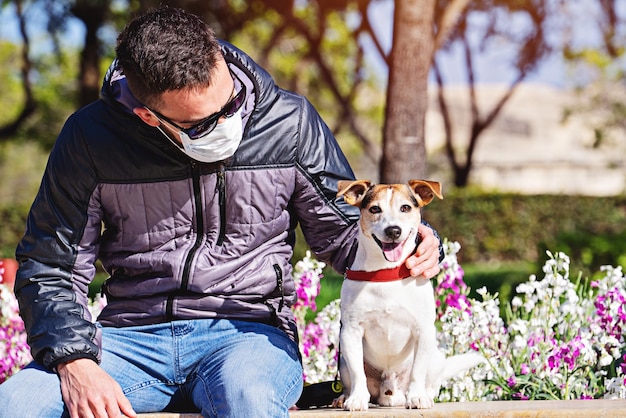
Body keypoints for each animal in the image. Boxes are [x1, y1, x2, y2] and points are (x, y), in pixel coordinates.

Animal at [334, 180, 480, 412]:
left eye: (405, 208)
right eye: (374, 209)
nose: (393, 230)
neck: (385, 272)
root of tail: (390, 393)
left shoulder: (423, 330)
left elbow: (418, 371)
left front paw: (418, 397)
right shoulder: (351, 332)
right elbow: (358, 373)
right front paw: (356, 398)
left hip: (437, 358)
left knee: (432, 382)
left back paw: (424, 394)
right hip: (342, 362)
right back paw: (345, 397)